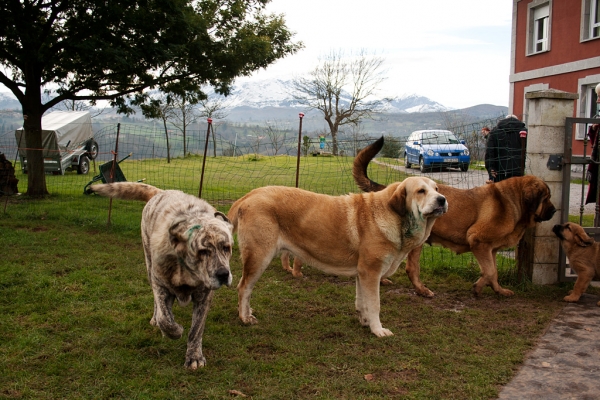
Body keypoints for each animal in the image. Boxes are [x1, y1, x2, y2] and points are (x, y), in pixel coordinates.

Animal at [85, 181, 233, 368]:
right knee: (158, 306)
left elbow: (196, 330)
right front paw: (174, 331)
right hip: (149, 267)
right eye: (203, 251)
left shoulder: (204, 297)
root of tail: (160, 192)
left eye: (227, 247)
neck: (185, 270)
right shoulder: (161, 286)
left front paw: (194, 356)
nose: (223, 274)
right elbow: (166, 319)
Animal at [227, 177, 448, 336]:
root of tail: (250, 195)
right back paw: (245, 318)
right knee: (244, 287)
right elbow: (374, 304)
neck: (395, 217)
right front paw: (378, 330)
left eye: (437, 189)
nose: (442, 199)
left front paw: (365, 322)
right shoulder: (372, 272)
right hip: (259, 258)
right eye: (421, 191)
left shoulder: (362, 274)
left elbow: (362, 302)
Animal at [352, 138, 556, 296]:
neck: (513, 199)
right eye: (546, 198)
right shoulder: (478, 241)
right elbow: (490, 271)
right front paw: (478, 287)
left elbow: (493, 272)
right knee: (411, 269)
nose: (554, 211)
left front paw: (497, 290)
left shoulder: (491, 250)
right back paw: (421, 290)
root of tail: (391, 190)